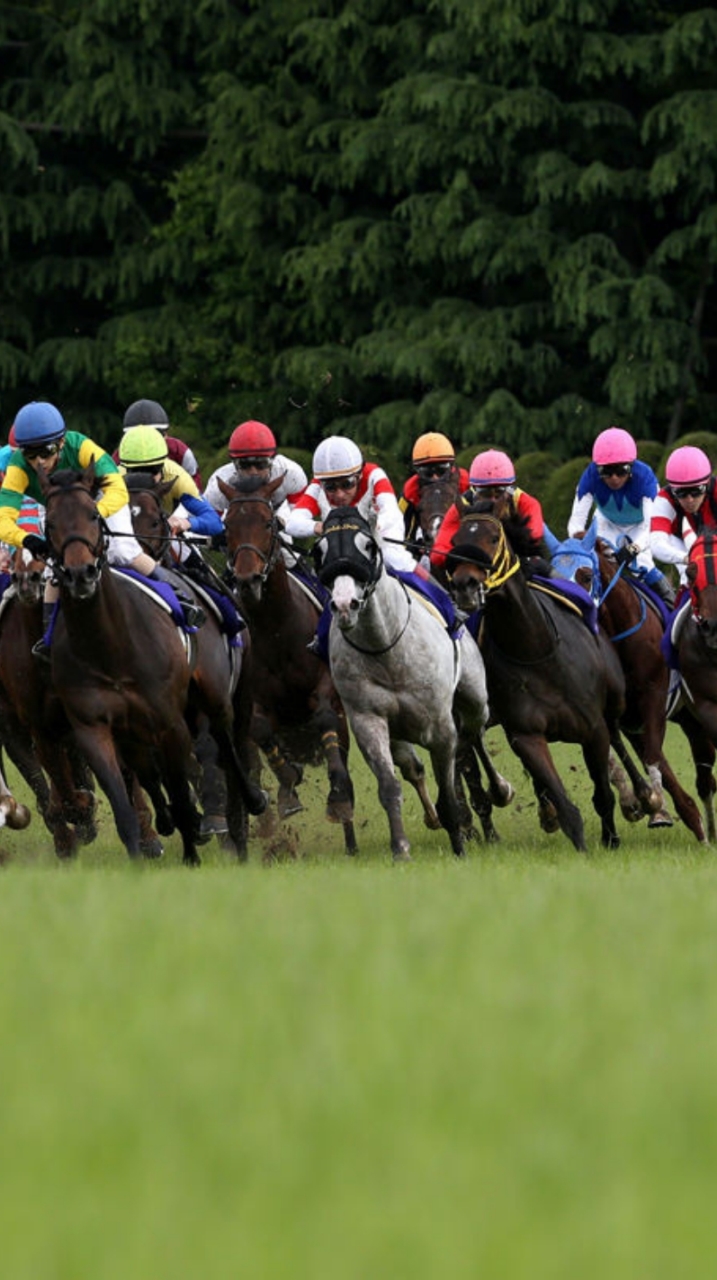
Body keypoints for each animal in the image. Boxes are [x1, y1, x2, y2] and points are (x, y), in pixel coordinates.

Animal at [36, 465, 262, 865]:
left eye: (93, 515)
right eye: (49, 523)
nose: (80, 574)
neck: (109, 645)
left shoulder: (169, 722)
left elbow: (182, 784)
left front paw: (192, 851)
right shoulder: (95, 728)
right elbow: (127, 800)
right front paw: (141, 856)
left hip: (220, 698)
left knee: (229, 745)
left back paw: (247, 805)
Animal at [215, 471, 355, 849]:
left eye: (268, 522)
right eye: (227, 525)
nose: (248, 580)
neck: (277, 629)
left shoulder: (326, 686)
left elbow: (325, 717)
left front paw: (338, 798)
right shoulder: (255, 699)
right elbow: (262, 732)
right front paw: (289, 786)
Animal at [313, 509, 509, 860]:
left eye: (367, 545)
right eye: (320, 550)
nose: (345, 605)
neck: (386, 647)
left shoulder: (441, 727)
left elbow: (449, 790)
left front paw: (459, 846)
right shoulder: (368, 720)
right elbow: (390, 786)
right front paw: (400, 848)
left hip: (474, 697)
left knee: (475, 733)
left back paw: (499, 790)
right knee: (417, 764)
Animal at [448, 504, 627, 855]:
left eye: (493, 537)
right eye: (456, 540)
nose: (464, 584)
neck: (536, 650)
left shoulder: (594, 729)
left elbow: (603, 793)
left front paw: (612, 839)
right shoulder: (526, 735)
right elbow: (564, 803)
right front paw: (580, 844)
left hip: (613, 705)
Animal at [545, 524, 701, 844]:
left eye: (586, 575)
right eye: (552, 576)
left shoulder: (653, 698)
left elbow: (652, 756)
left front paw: (654, 804)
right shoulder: (617, 714)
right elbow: (618, 755)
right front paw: (637, 803)